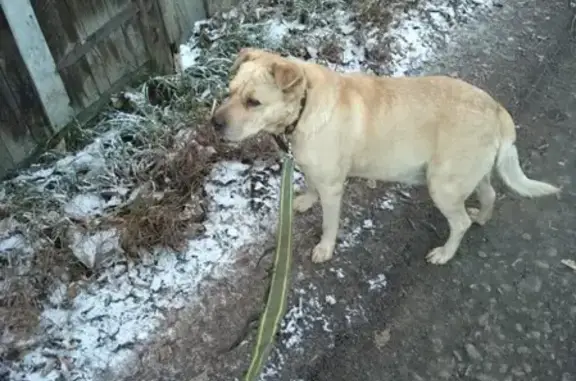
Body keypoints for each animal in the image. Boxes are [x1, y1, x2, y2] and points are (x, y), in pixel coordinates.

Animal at [210, 47, 560, 264]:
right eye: (229, 92)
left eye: (253, 102)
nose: (214, 123)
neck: (304, 105)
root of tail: (497, 109)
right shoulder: (313, 167)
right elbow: (309, 184)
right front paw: (307, 200)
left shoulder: (333, 188)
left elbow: (329, 224)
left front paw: (325, 248)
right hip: (471, 174)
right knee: (489, 194)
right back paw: (482, 217)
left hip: (443, 185)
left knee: (459, 223)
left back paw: (445, 253)